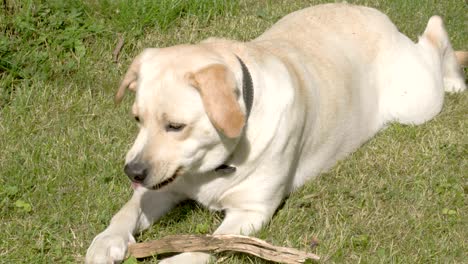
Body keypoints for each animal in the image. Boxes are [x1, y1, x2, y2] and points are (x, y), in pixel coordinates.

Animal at [86, 3, 466, 262]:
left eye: (175, 126)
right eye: (138, 119)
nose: (132, 171)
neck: (218, 162)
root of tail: (379, 17)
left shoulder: (249, 214)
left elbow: (202, 248)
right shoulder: (164, 187)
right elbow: (126, 211)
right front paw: (107, 241)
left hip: (417, 102)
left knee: (435, 39)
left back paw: (453, 75)